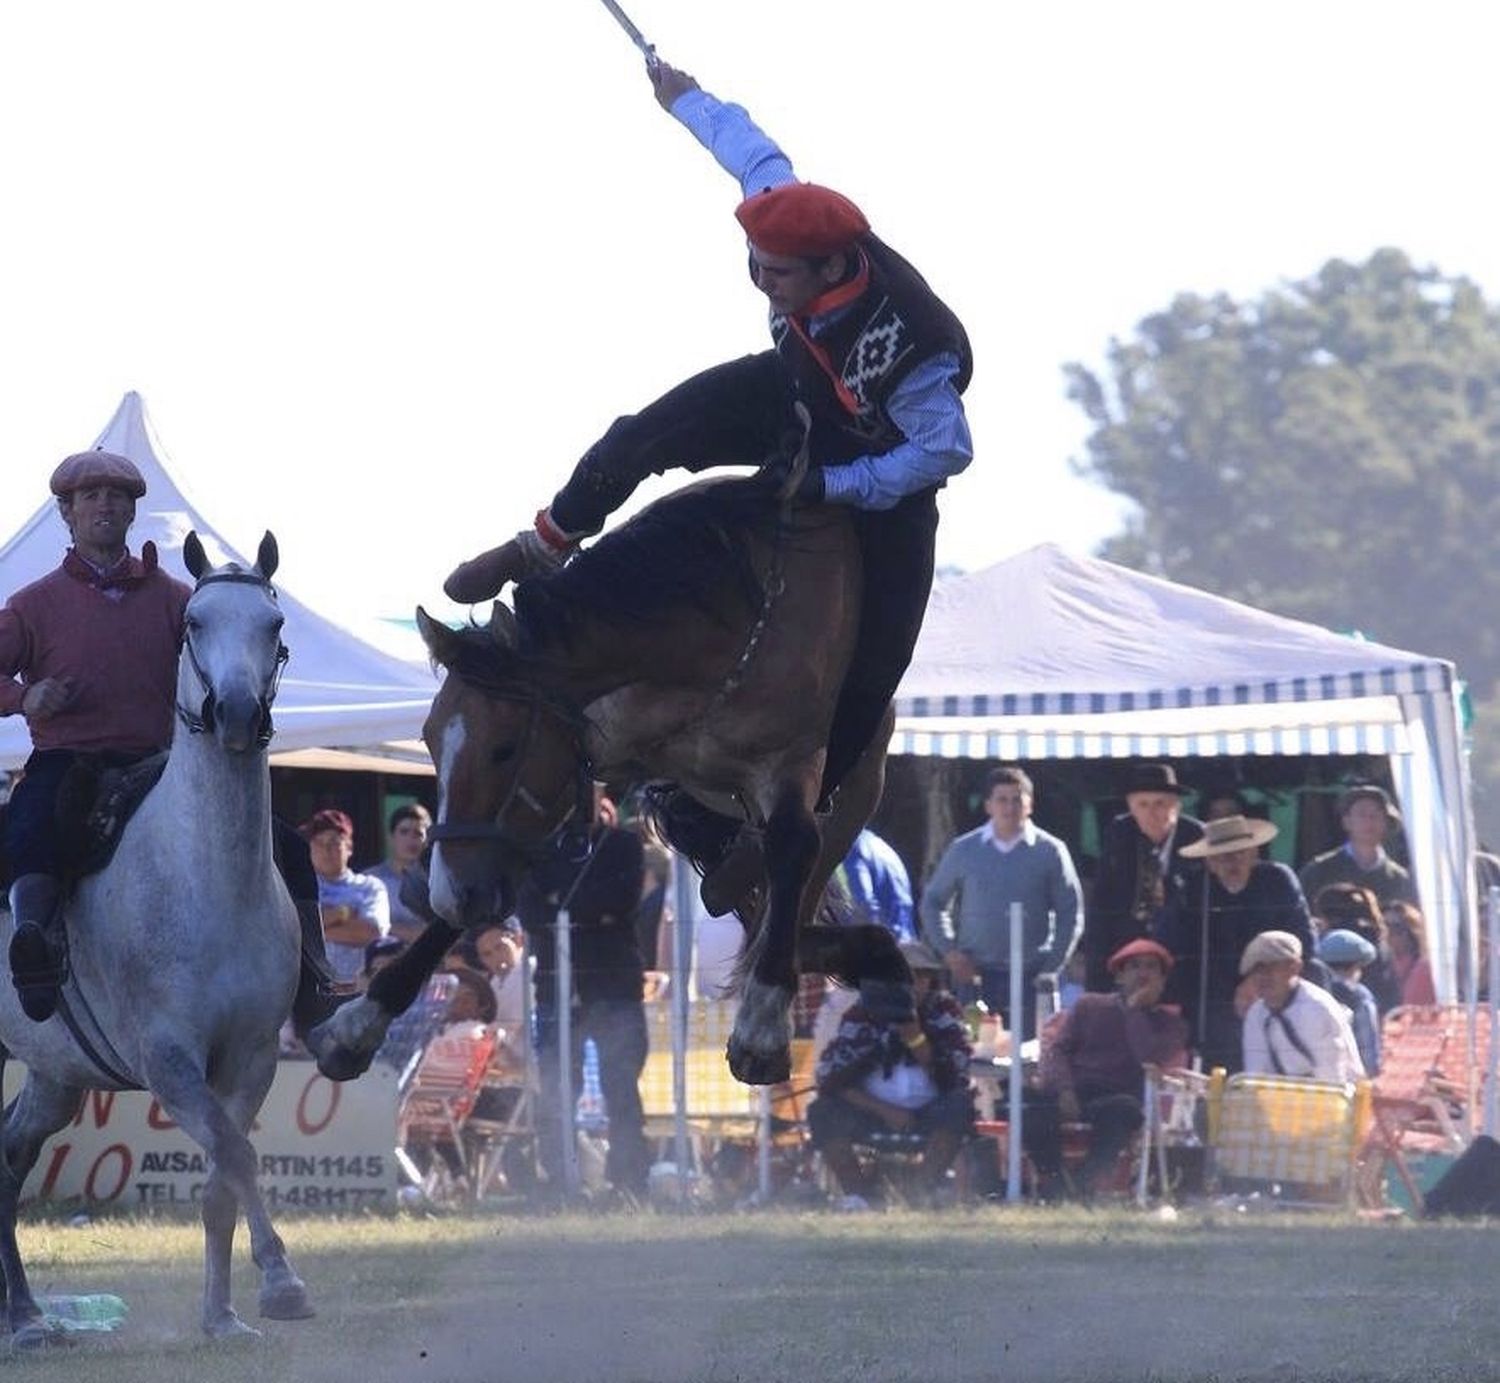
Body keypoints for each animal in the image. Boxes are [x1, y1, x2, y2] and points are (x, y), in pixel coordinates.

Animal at [0, 534, 312, 1344]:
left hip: (54, 1074)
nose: (236, 712)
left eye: (273, 623)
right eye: (194, 623)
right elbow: (234, 1153)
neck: (208, 880)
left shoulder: (251, 1057)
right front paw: (282, 1280)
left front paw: (223, 1315)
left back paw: (27, 1316)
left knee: (9, 1159)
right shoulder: (169, 1059)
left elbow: (224, 1178)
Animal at [307, 474, 900, 1086]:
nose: (447, 893)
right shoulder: (575, 758)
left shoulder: (791, 766)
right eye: (427, 739)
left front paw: (761, 1022)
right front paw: (359, 1021)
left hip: (857, 789)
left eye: (504, 747)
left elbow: (793, 844)